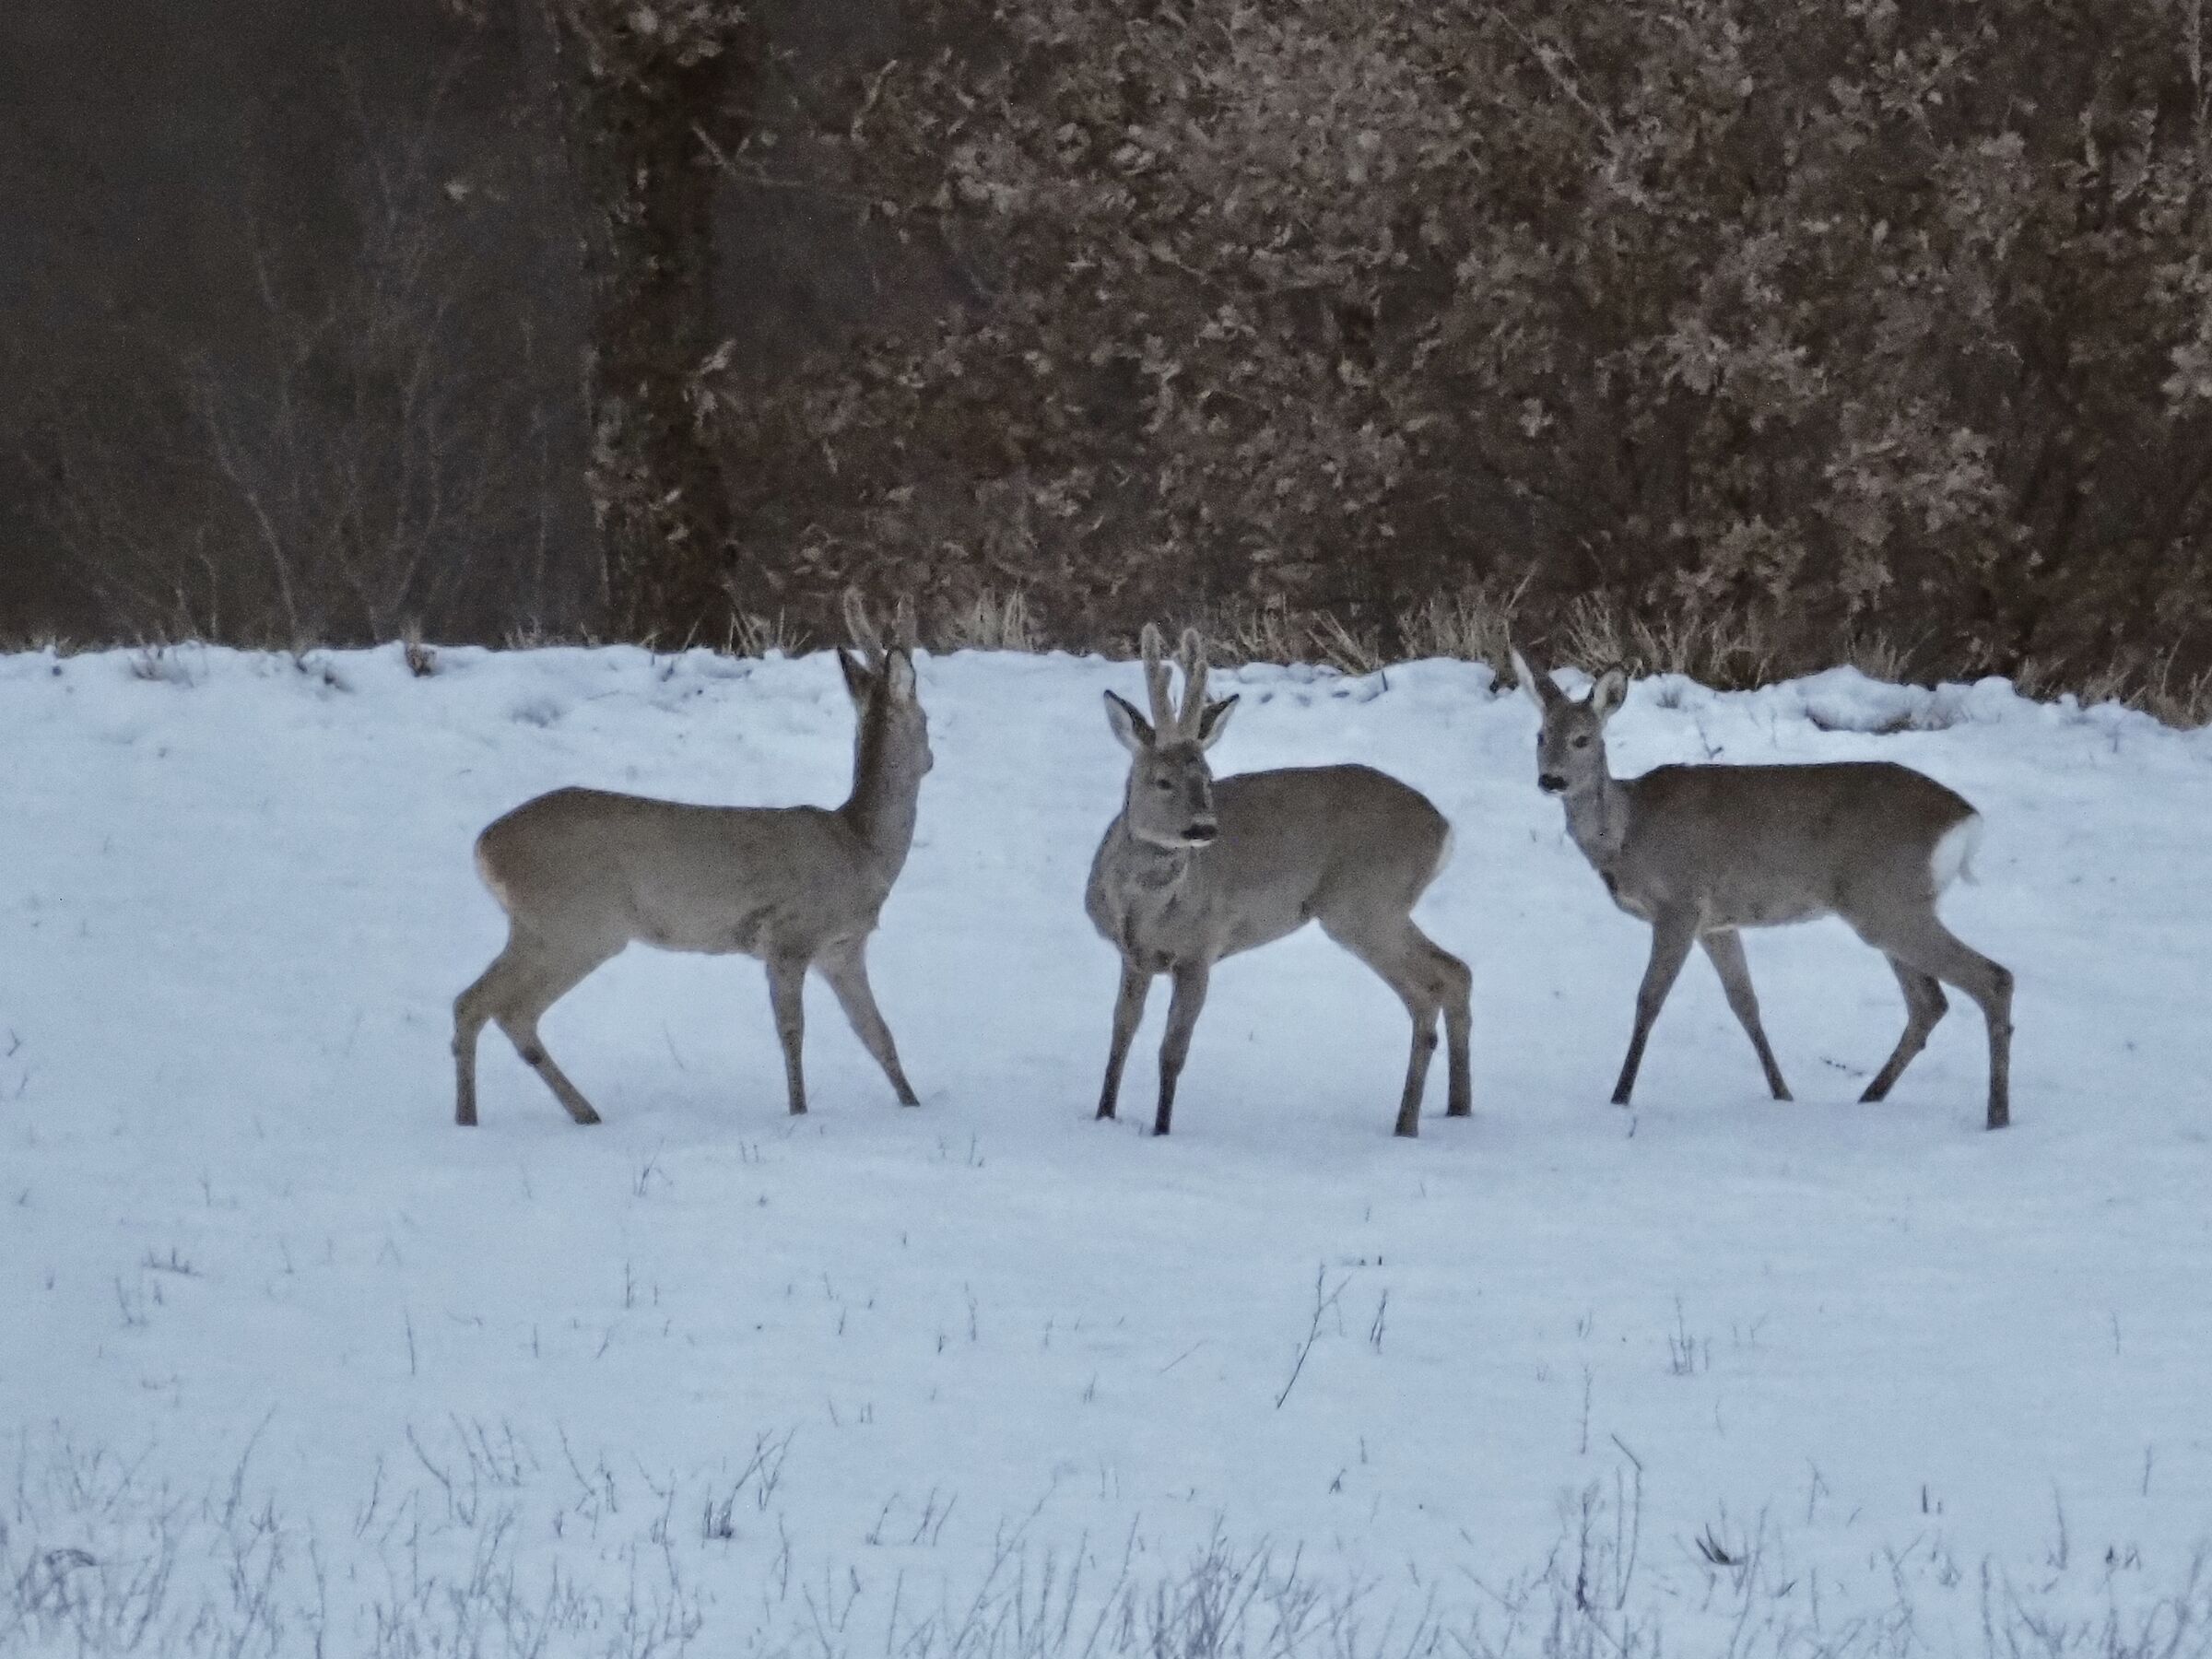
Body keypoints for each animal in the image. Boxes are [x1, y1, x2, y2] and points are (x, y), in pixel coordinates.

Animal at [453, 597, 929, 1132]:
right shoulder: (790, 938)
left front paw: (914, 1104)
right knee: (493, 1006)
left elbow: (877, 1032)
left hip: (548, 929)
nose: (931, 757)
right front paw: (799, 1113)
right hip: (571, 925)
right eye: (927, 720)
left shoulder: (842, 948)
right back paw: (485, 1119)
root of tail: (484, 846)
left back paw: (559, 1115)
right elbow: (792, 1031)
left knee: (487, 1006)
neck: (861, 848)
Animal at [1084, 628, 1477, 1141]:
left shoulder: (1201, 949)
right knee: (1455, 972)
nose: (1204, 829)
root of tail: (1444, 828)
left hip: (1365, 905)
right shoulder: (1133, 956)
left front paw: (1162, 1130)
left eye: (1207, 777)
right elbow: (1120, 1034)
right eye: (1162, 780)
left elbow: (1173, 1049)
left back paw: (1406, 1125)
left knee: (1427, 989)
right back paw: (1457, 1109)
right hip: (1379, 910)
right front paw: (1103, 1115)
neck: (1143, 908)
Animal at [1512, 650, 2017, 1132]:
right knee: (1930, 1002)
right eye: (1540, 736)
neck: (1627, 833)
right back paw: (1870, 1098)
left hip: (1887, 900)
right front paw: (1782, 1094)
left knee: (1992, 978)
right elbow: (1746, 1004)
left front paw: (1620, 1097)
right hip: (1889, 906)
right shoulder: (1716, 922)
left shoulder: (1679, 903)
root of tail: (1966, 819)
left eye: (1582, 739)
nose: (1551, 779)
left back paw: (1996, 1117)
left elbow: (1649, 1000)